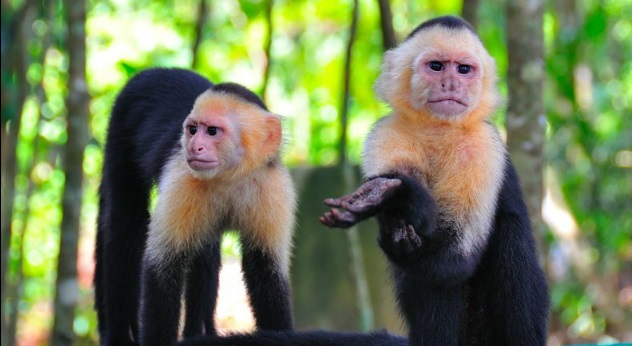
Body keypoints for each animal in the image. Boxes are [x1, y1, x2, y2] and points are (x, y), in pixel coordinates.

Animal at [94, 68, 296, 346]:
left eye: (212, 131)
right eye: (192, 130)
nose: (193, 146)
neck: (230, 177)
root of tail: (155, 70)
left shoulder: (273, 188)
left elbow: (264, 270)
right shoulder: (182, 180)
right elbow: (163, 268)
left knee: (206, 247)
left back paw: (200, 331)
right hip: (120, 120)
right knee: (126, 222)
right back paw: (122, 335)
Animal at [173, 14, 548, 346]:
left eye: (464, 70)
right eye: (437, 66)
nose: (452, 84)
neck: (439, 130)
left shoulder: (483, 148)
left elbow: (457, 257)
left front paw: (389, 201)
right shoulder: (387, 135)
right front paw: (392, 197)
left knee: (507, 245)